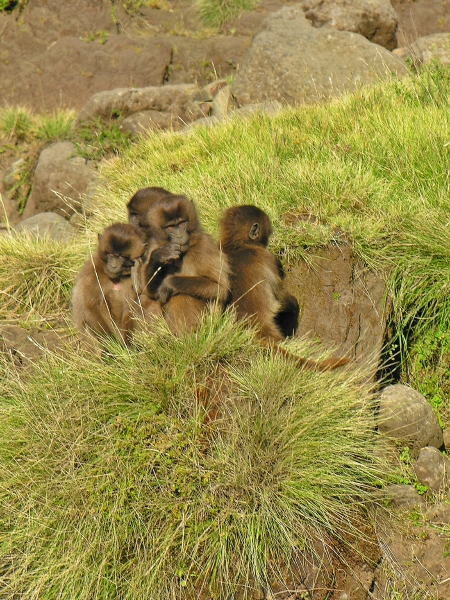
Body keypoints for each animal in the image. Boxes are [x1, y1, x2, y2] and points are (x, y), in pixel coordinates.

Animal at [136, 193, 230, 335]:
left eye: (181, 223)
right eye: (170, 227)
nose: (179, 236)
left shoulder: (204, 247)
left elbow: (220, 288)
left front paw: (169, 284)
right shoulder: (154, 245)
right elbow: (148, 290)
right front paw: (159, 257)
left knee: (180, 295)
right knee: (145, 298)